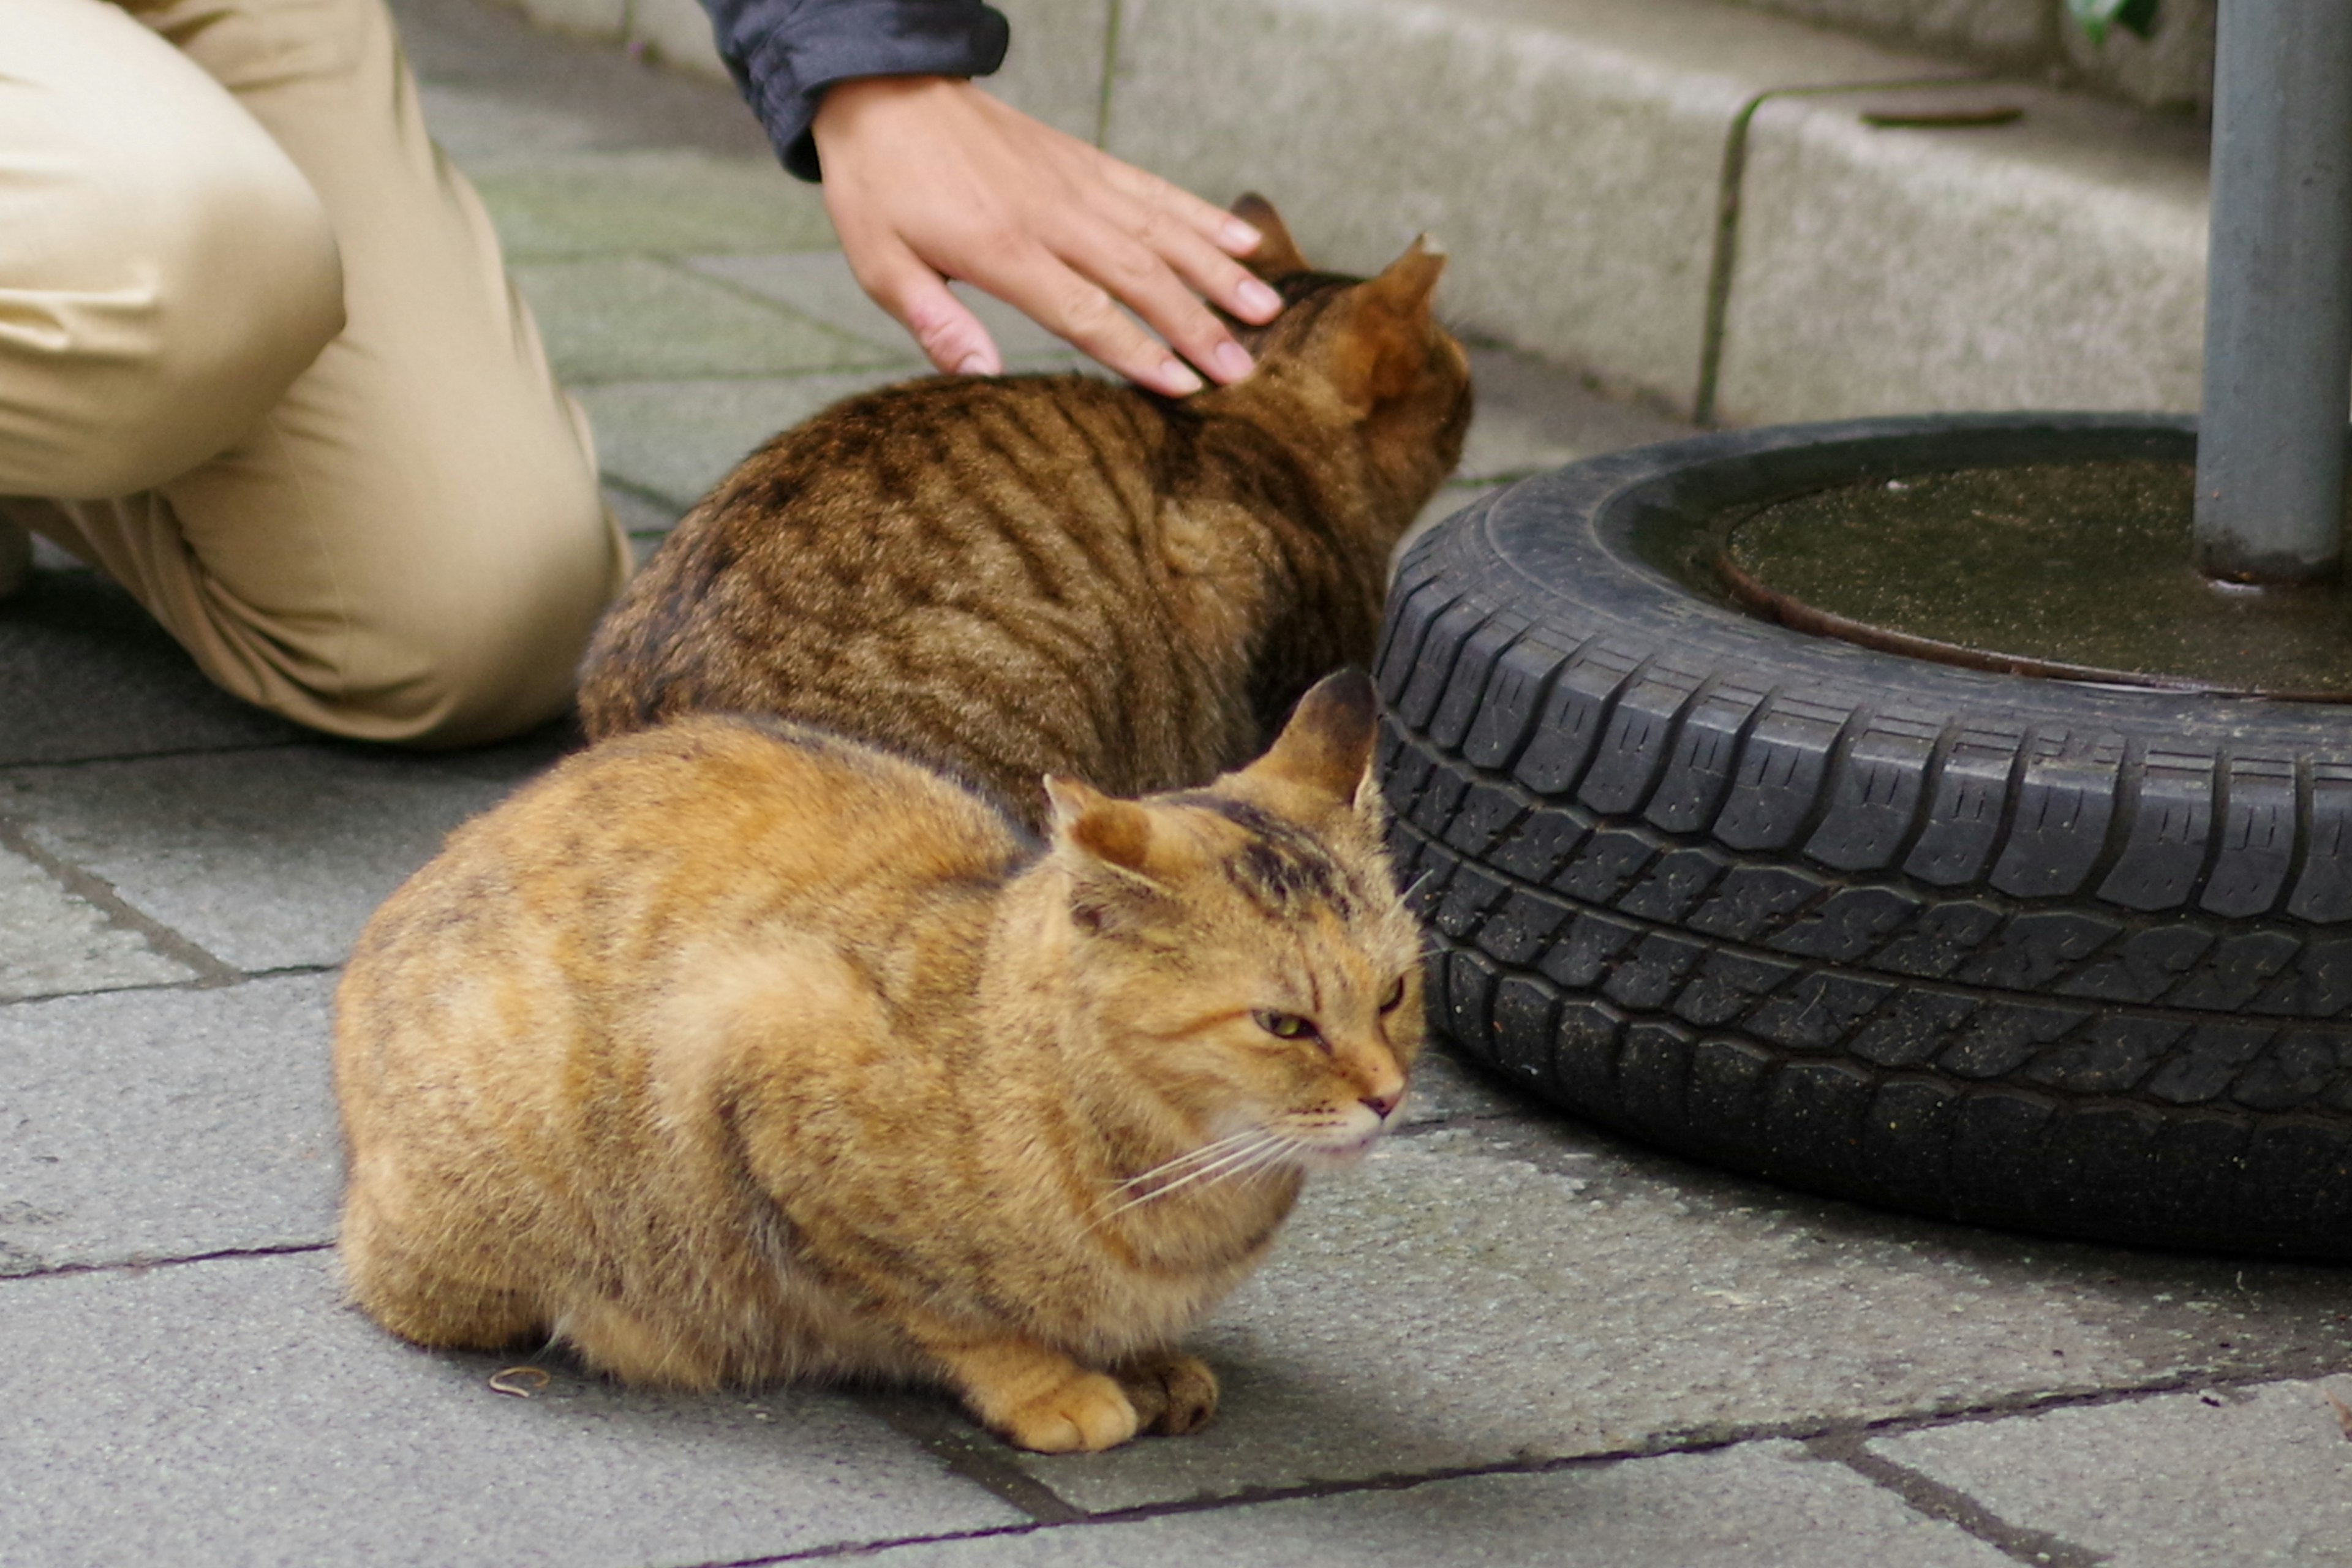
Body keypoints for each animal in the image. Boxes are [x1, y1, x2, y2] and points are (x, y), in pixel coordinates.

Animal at [334, 668, 1420, 1457]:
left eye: (1395, 995)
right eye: (1285, 1024)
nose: (1388, 1097)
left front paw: (1149, 1357)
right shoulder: (756, 1057)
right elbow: (947, 1309)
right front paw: (1053, 1384)